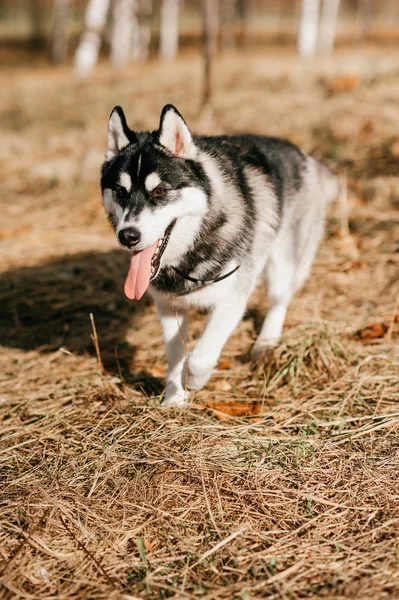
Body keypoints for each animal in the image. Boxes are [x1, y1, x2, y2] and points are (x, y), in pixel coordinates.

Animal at [101, 105, 340, 408]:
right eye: (121, 192)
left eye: (161, 190)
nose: (128, 236)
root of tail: (303, 155)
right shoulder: (168, 305)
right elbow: (175, 353)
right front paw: (174, 397)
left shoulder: (233, 298)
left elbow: (200, 356)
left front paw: (193, 380)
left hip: (282, 263)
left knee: (279, 299)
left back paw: (266, 342)